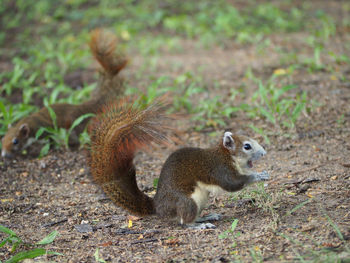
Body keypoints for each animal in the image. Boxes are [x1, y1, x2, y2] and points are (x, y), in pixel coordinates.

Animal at [1, 29, 127, 159]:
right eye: (2, 139)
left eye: (16, 141)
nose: (4, 154)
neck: (31, 123)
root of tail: (79, 108)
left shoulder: (45, 131)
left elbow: (50, 141)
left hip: (72, 124)